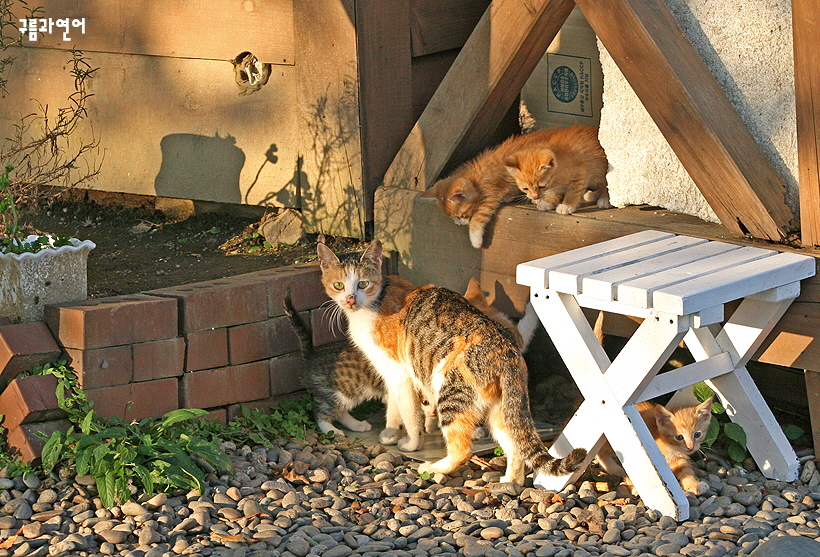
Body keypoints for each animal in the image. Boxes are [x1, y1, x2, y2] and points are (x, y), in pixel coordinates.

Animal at [316, 239, 588, 486]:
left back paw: (433, 467)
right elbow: (394, 406)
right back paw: (509, 482)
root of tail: (506, 350)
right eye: (339, 285)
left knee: (462, 450)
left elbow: (410, 414)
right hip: (500, 408)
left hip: (450, 392)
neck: (375, 302)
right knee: (515, 447)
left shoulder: (399, 373)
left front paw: (411, 444)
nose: (350, 299)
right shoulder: (392, 373)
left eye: (363, 283)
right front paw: (390, 433)